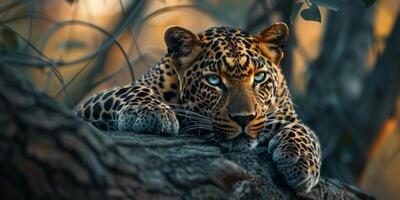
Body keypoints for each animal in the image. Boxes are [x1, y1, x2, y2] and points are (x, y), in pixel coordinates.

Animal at [76, 22, 322, 193]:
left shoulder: (285, 114)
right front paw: (151, 111)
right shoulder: (85, 106)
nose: (244, 118)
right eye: (214, 81)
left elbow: (305, 131)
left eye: (259, 77)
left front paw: (300, 162)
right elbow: (129, 90)